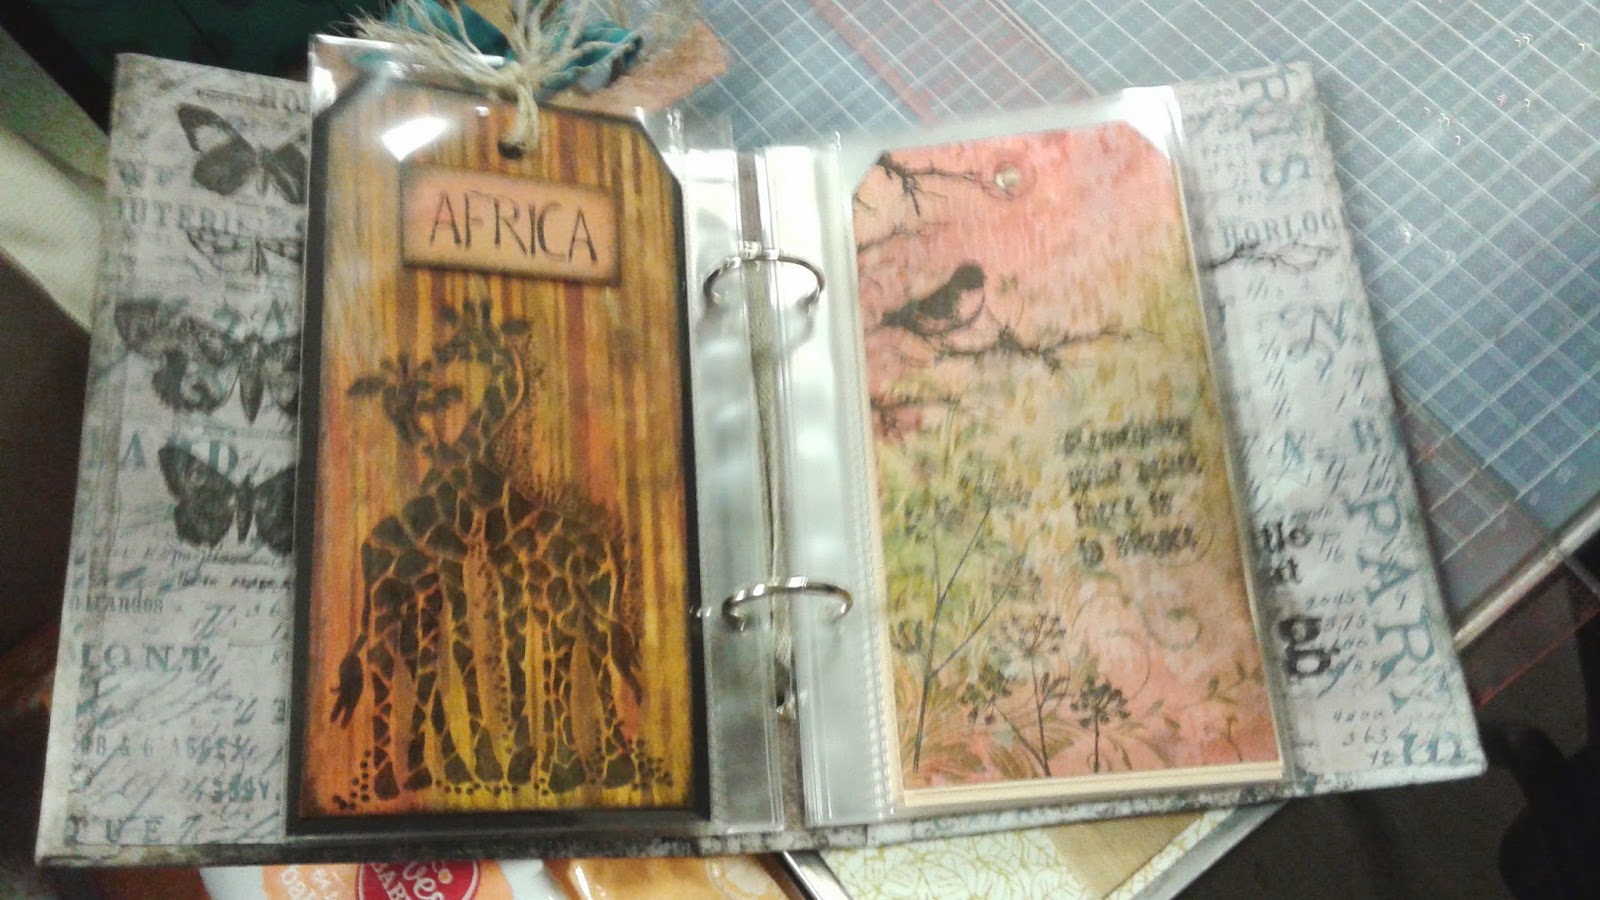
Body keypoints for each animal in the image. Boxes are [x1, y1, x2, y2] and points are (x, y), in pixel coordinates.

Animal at [329, 301, 648, 805]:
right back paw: (400, 777)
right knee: (392, 660)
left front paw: (534, 766)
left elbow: (521, 659)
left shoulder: (505, 578)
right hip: (390, 598)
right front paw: (515, 763)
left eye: (468, 338)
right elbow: (487, 654)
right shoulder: (483, 571)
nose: (435, 359)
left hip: (584, 599)